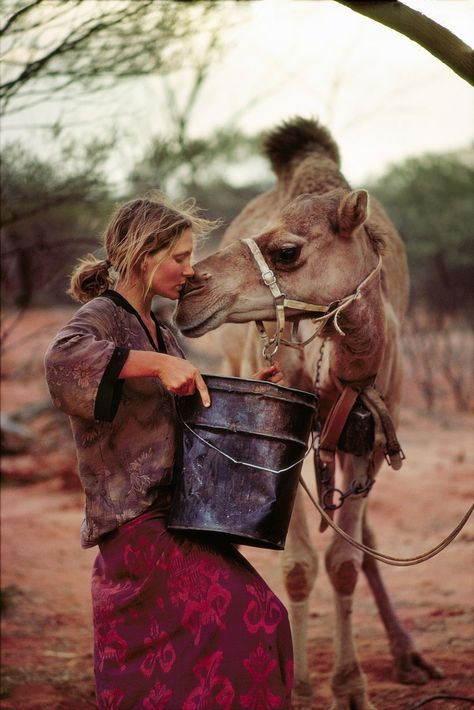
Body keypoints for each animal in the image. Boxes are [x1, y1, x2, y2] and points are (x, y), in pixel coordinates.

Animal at [176, 119, 442, 708]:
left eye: (287, 251)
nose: (187, 292)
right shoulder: (289, 442)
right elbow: (299, 566)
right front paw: (297, 689)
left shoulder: (369, 437)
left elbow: (344, 562)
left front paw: (352, 687)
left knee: (363, 542)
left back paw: (409, 657)